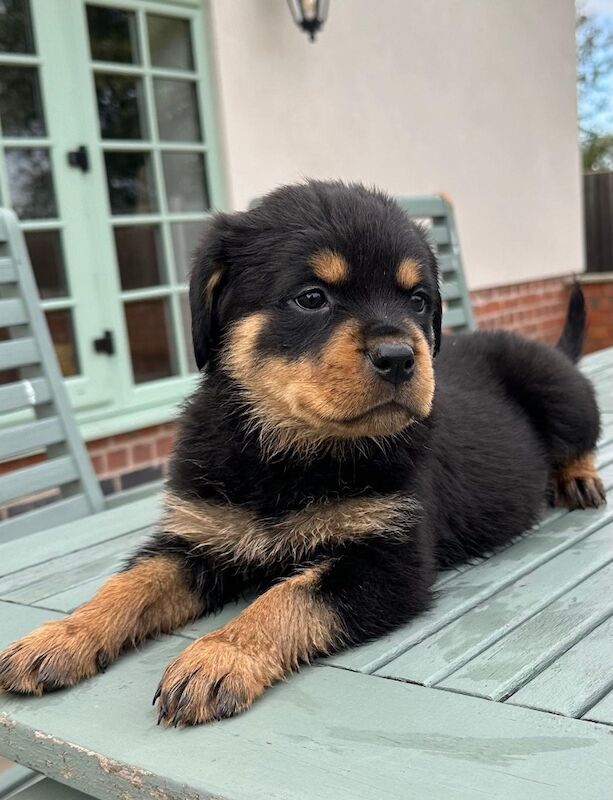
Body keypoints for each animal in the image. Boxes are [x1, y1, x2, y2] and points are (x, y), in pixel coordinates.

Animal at [0, 181, 604, 724]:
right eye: (312, 298)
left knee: (582, 438)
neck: (289, 452)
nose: (400, 357)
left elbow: (288, 596)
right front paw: (60, 636)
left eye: (417, 300)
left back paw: (577, 478)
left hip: (560, 391)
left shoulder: (389, 559)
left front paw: (218, 657)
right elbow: (130, 583)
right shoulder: (197, 535)